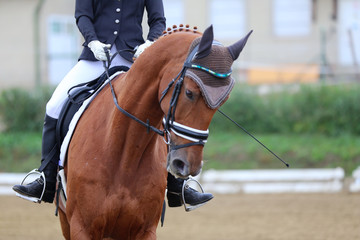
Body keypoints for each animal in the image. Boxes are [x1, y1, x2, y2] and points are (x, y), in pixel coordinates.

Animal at [57, 25, 252, 239]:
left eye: (223, 101)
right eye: (189, 93)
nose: (188, 165)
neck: (125, 154)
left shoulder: (145, 230)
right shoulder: (82, 228)